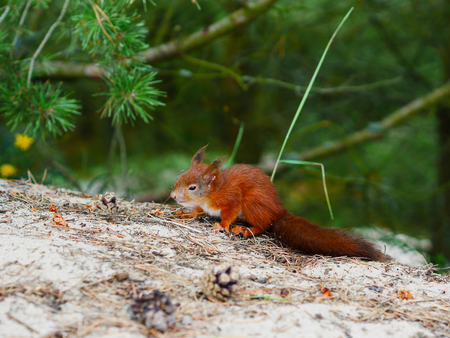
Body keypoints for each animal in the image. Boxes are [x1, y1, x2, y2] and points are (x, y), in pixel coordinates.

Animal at [171, 145, 388, 262]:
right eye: (179, 176)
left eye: (192, 187)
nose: (172, 196)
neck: (212, 193)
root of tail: (278, 212)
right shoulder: (203, 205)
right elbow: (197, 210)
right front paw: (187, 213)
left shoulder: (232, 199)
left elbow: (229, 213)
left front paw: (222, 225)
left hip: (252, 204)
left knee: (264, 224)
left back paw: (246, 230)